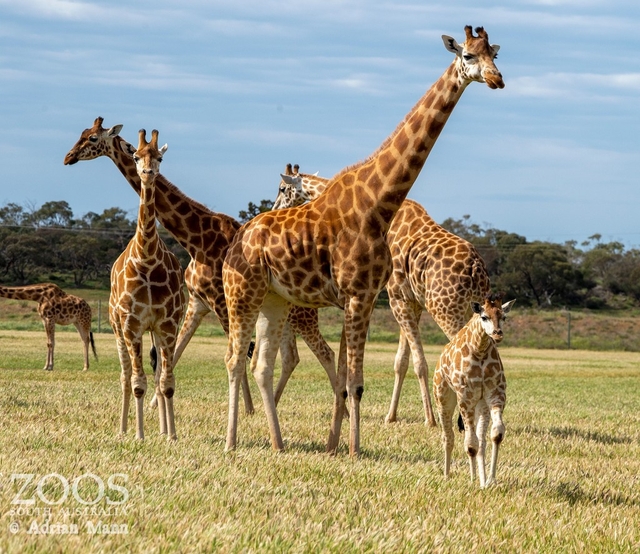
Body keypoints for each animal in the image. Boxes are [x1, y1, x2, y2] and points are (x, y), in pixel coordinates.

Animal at [270, 166, 490, 424]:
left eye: (282, 188)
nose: (275, 209)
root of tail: (476, 268)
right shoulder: (410, 302)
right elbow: (401, 361)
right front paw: (391, 416)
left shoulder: (395, 298)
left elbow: (418, 362)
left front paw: (430, 419)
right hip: (474, 309)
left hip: (446, 310)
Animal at [430, 292, 516, 486]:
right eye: (484, 317)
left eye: (504, 317)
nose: (497, 334)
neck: (480, 349)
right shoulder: (465, 397)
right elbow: (470, 445)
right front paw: (472, 480)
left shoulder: (496, 394)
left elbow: (496, 434)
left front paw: (489, 480)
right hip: (443, 398)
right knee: (448, 437)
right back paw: (447, 475)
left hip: (481, 404)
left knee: (481, 440)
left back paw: (481, 479)